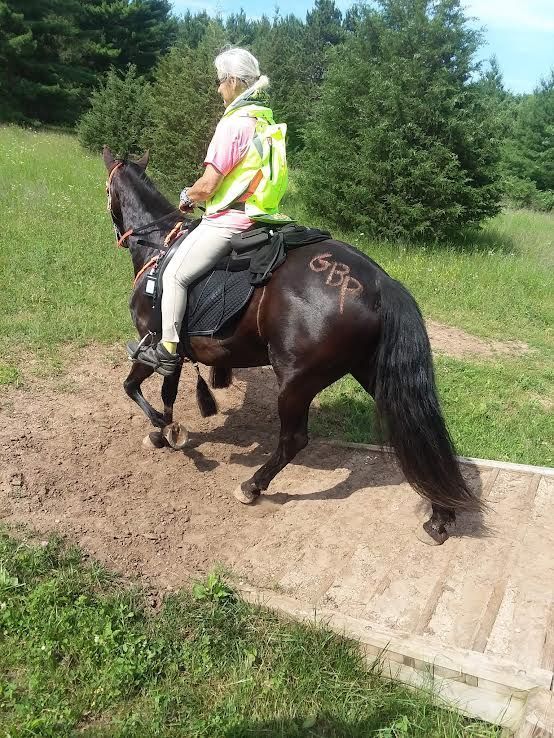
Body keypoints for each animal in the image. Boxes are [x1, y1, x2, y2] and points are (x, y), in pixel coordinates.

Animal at [103, 146, 481, 545]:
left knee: (293, 440)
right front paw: (165, 432)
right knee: (418, 434)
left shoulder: (153, 342)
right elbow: (168, 393)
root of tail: (380, 282)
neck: (160, 245)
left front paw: (164, 430)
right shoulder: (173, 353)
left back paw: (252, 486)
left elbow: (132, 386)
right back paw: (440, 516)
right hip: (371, 373)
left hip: (297, 382)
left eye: (108, 190)